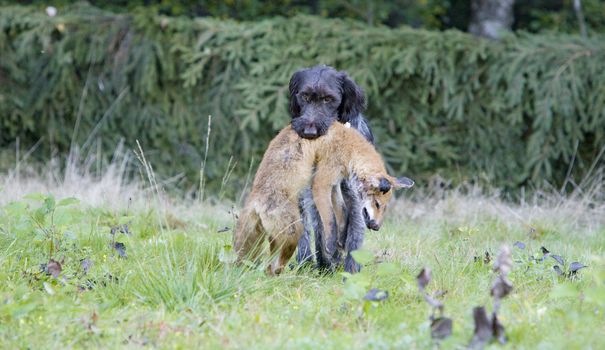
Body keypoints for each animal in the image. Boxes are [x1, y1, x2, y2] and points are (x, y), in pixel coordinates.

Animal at [231, 121, 410, 274]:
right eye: (378, 204)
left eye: (385, 208)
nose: (376, 227)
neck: (349, 145)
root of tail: (255, 201)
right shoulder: (321, 182)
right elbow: (330, 220)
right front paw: (331, 244)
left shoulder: (334, 185)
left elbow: (342, 213)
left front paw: (341, 239)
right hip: (292, 235)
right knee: (272, 267)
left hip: (261, 242)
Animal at [288, 66, 372, 274]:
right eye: (304, 97)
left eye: (328, 99)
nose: (309, 132)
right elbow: (320, 233)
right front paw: (325, 263)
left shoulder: (355, 198)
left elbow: (354, 237)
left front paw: (351, 272)